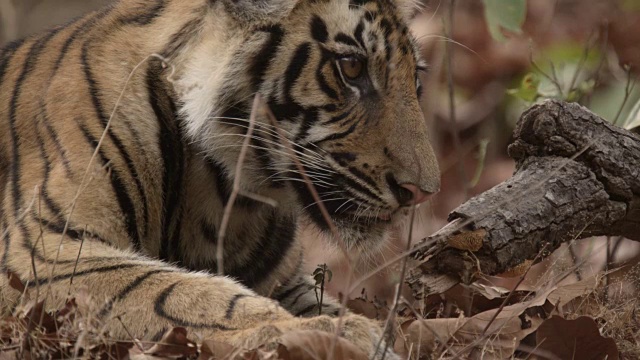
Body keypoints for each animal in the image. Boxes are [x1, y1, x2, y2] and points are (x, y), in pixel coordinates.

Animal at [0, 0, 440, 356]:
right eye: (351, 67)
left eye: (417, 79)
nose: (422, 193)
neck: (221, 183)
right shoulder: (43, 250)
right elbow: (179, 293)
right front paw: (342, 335)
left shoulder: (287, 282)